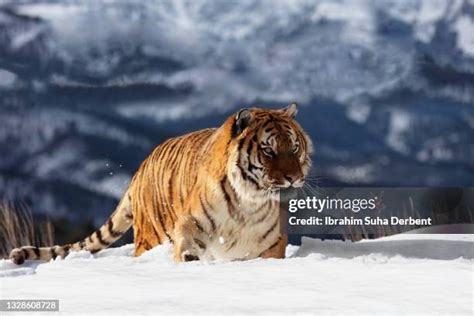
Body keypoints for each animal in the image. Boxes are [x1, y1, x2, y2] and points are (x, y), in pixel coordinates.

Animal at [9, 103, 312, 264]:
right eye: (269, 150)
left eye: (294, 148)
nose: (294, 177)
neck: (248, 203)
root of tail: (140, 169)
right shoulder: (191, 226)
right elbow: (188, 252)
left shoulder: (271, 242)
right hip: (150, 236)